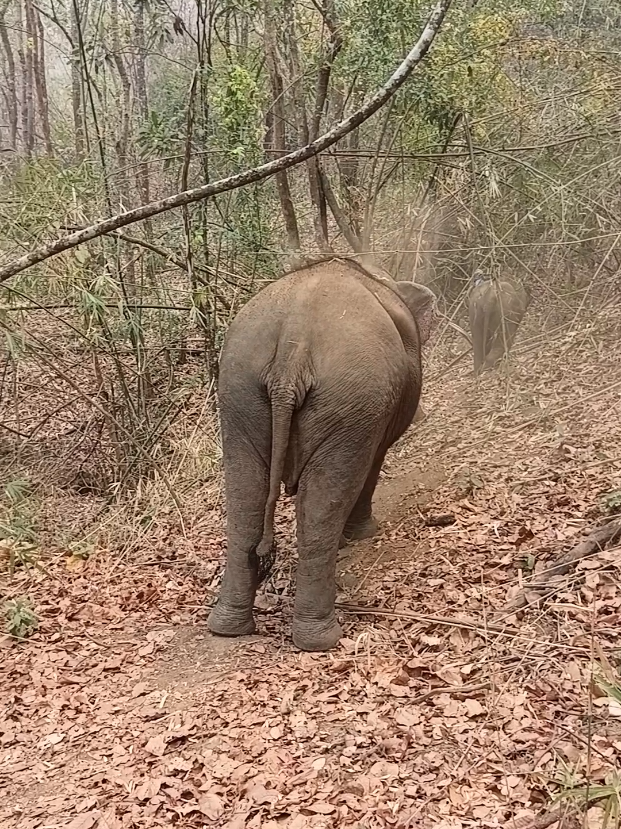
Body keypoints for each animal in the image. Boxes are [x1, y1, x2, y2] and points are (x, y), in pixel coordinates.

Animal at [208, 257, 436, 652]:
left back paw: (228, 627)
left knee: (245, 500)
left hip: (238, 393)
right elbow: (374, 460)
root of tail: (293, 344)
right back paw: (321, 638)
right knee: (322, 504)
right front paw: (363, 535)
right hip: (351, 399)